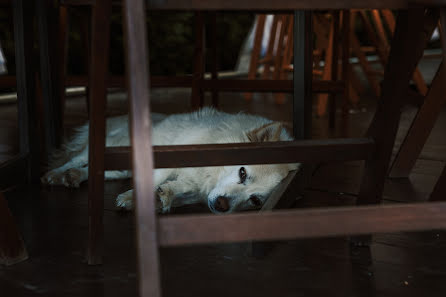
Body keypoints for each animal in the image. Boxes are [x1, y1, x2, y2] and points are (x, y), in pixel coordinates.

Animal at [41, 107, 300, 214]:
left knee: (103, 171)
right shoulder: (168, 162)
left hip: (121, 165)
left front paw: (160, 199)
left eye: (255, 200)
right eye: (242, 173)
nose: (221, 206)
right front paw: (132, 198)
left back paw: (74, 176)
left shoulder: (196, 190)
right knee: (76, 158)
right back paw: (55, 174)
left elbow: (175, 192)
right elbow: (155, 180)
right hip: (112, 146)